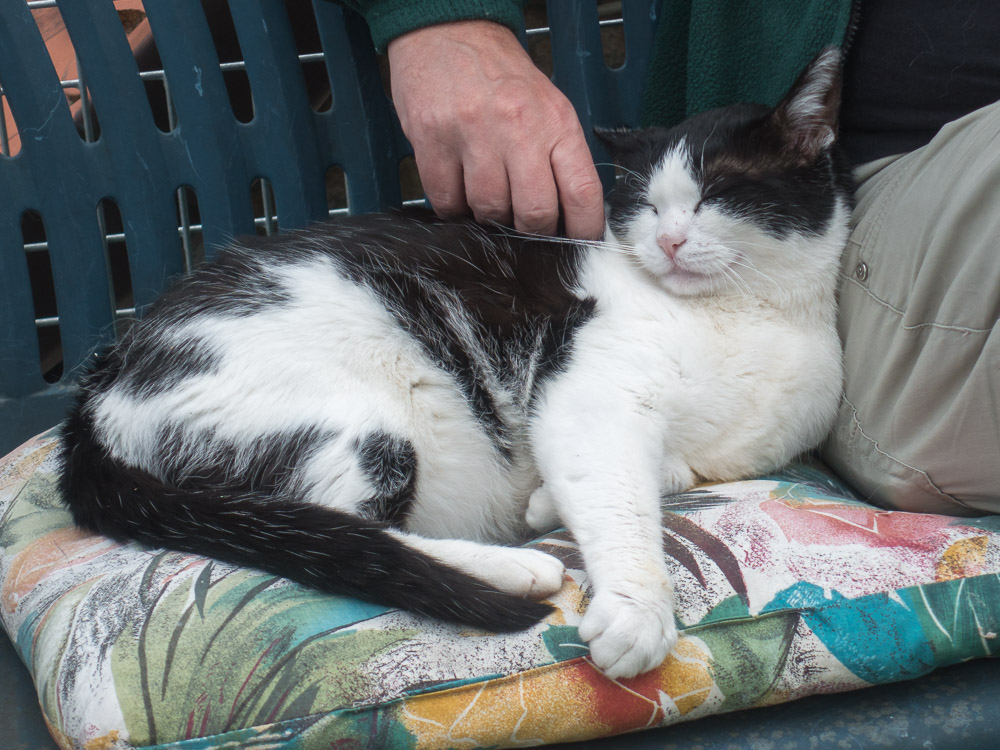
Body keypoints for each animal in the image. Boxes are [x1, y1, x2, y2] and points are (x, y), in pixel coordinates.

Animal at [56, 47, 852, 680]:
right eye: (648, 207)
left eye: (718, 194)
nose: (671, 242)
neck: (746, 315)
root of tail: (99, 389)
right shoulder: (588, 395)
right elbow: (620, 500)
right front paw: (638, 608)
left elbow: (658, 475)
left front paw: (550, 501)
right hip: (358, 426)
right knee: (334, 528)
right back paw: (513, 566)